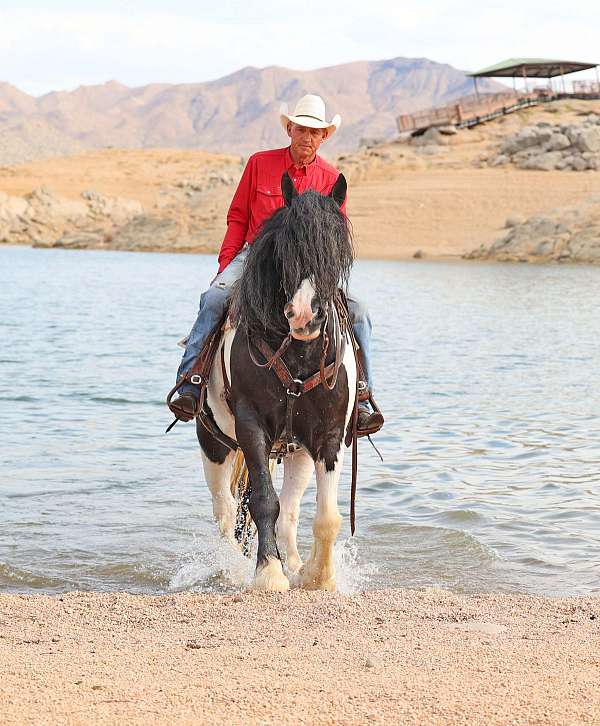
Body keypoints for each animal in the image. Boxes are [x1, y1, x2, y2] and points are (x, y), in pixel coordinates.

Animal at [195, 171, 356, 592]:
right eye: (287, 246)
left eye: (337, 248)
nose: (304, 315)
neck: (298, 355)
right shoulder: (251, 427)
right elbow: (263, 502)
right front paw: (268, 572)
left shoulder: (328, 435)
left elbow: (327, 517)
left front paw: (317, 576)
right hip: (215, 446)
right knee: (225, 512)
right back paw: (234, 567)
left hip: (296, 451)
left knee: (291, 512)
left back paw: (295, 561)